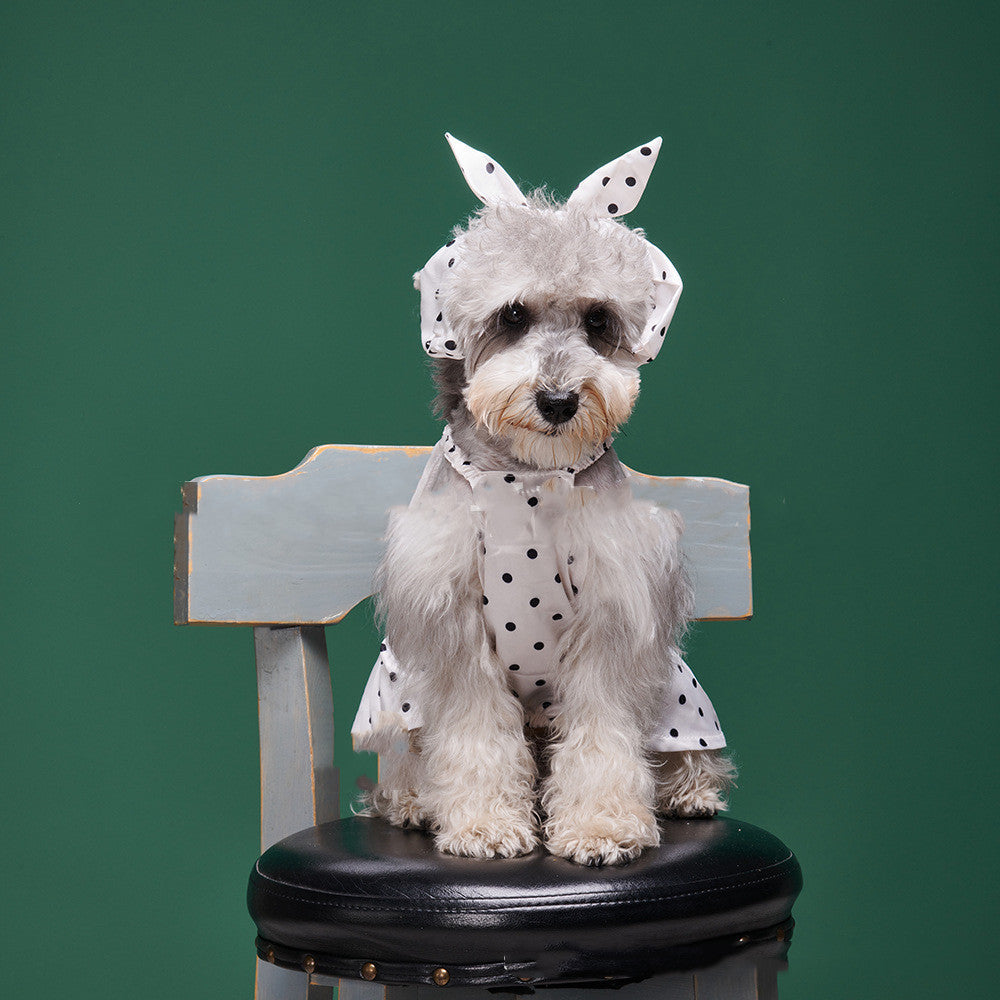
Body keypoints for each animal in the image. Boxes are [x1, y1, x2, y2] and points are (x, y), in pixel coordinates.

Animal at [352, 135, 736, 868]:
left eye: (598, 319)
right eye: (512, 315)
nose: (558, 401)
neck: (523, 481)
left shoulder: (613, 617)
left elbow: (603, 736)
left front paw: (601, 825)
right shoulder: (451, 626)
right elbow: (475, 735)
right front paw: (481, 823)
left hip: (677, 690)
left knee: (688, 750)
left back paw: (690, 791)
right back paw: (413, 800)